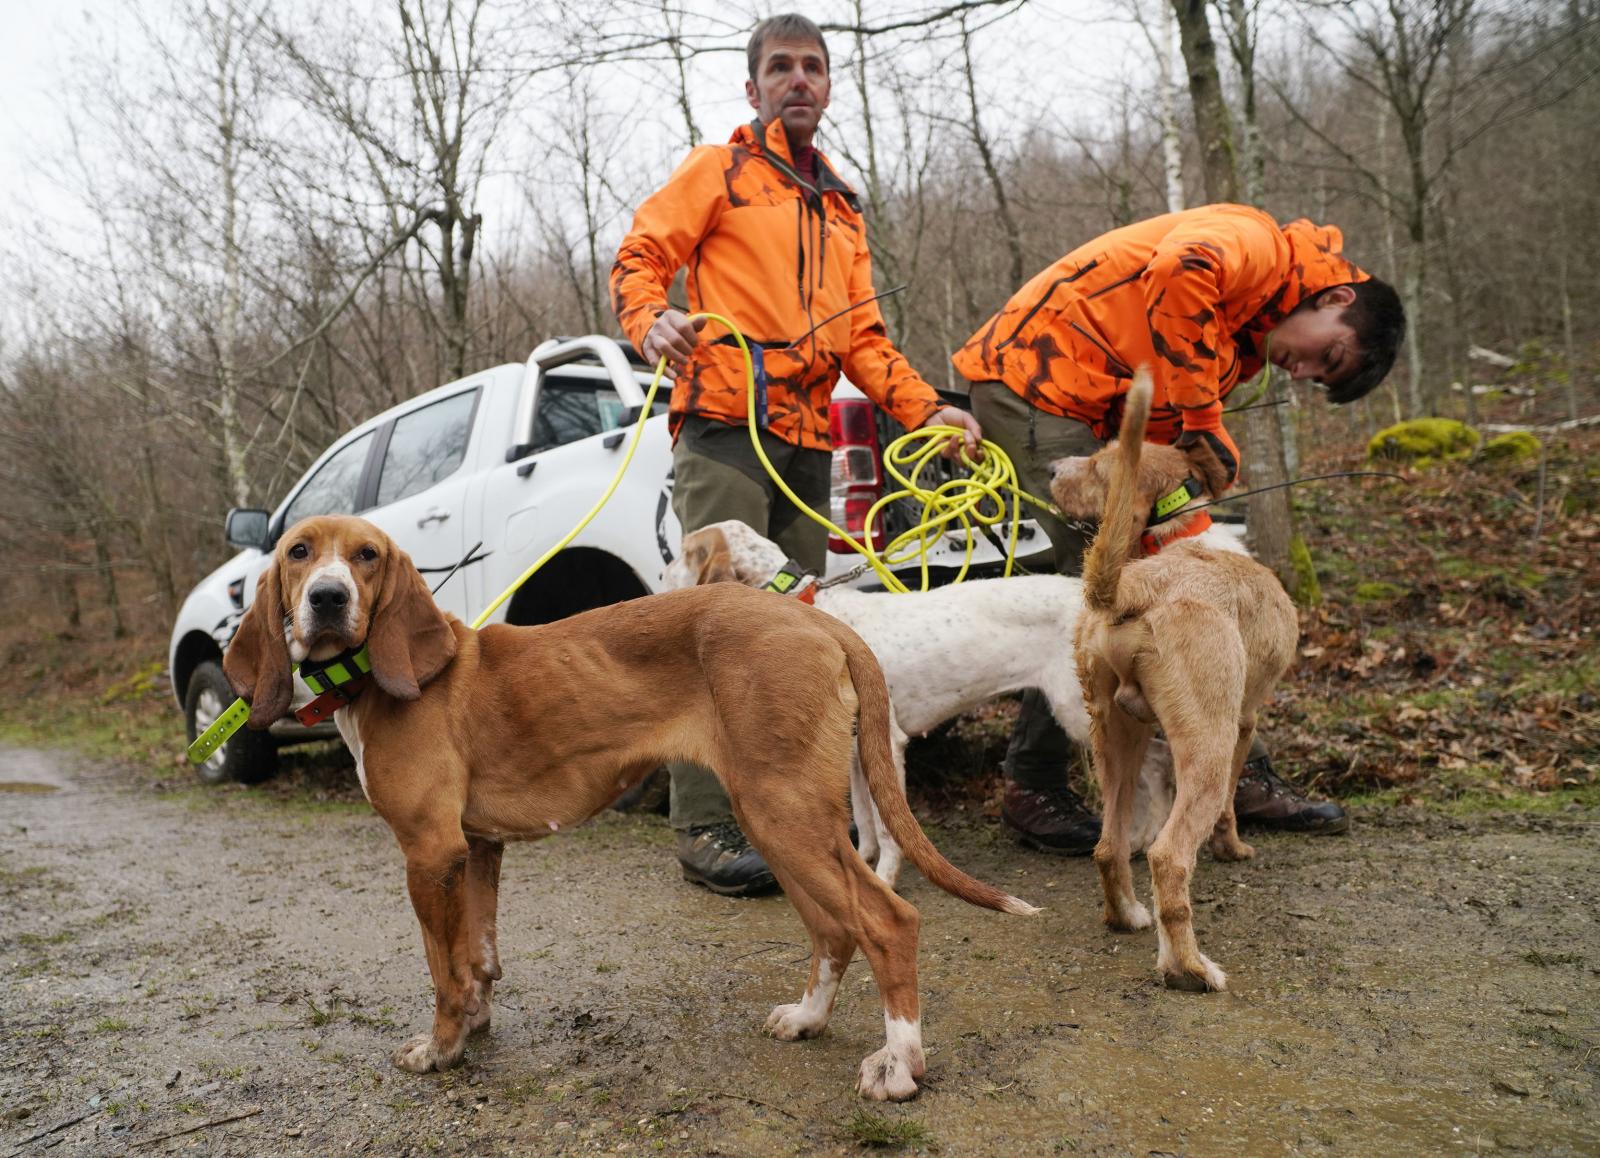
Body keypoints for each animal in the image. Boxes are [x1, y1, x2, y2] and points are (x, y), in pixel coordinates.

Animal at [222, 518, 1036, 1106]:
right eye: (299, 553)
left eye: (365, 556)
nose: (327, 598)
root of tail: (822, 623)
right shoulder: (478, 850)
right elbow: (478, 956)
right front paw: (476, 1026)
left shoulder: (430, 854)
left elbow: (441, 965)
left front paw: (441, 1048)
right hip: (780, 821)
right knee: (837, 929)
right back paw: (809, 1019)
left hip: (788, 817)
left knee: (888, 922)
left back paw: (899, 1066)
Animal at [1049, 375, 1299, 991]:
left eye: (1097, 464)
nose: (1050, 468)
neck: (1174, 536)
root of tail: (1134, 588)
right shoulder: (1243, 723)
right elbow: (1232, 803)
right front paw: (1233, 848)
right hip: (1205, 747)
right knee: (1167, 857)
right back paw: (1187, 967)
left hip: (1117, 737)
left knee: (1109, 846)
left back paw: (1127, 916)